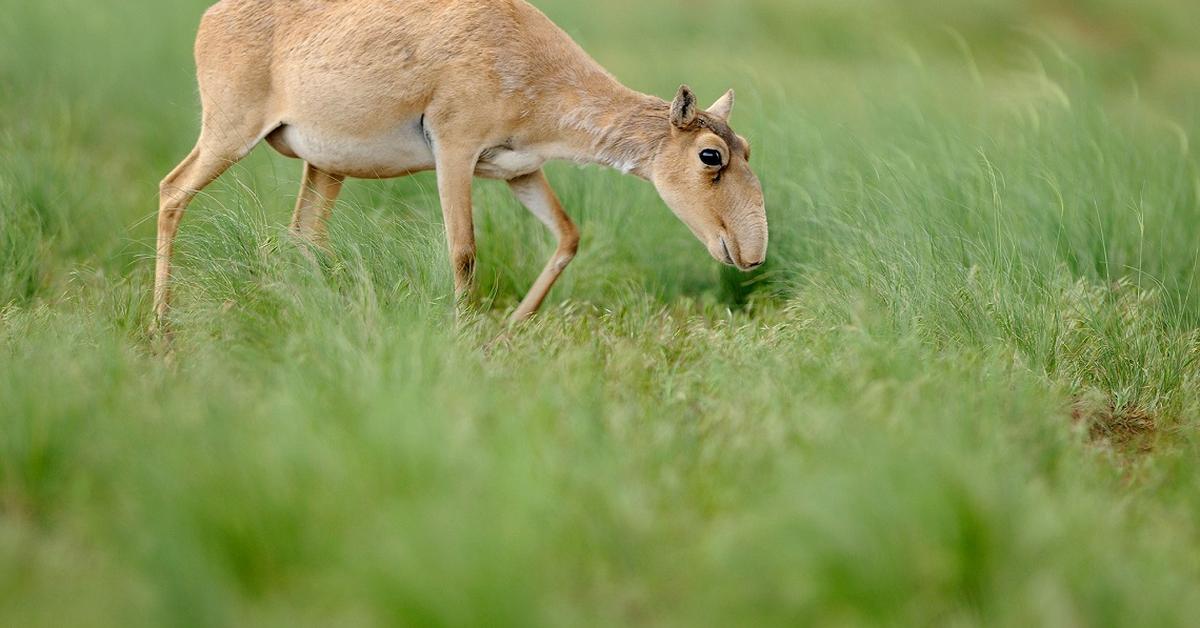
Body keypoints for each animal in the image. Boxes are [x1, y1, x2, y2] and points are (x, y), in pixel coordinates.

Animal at [157, 1, 768, 329]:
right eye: (709, 154)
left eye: (745, 147)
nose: (752, 253)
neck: (533, 61)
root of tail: (211, 17)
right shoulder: (454, 151)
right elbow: (464, 252)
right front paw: (463, 340)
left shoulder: (519, 170)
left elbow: (568, 235)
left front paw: (510, 330)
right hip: (228, 134)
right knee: (172, 191)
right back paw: (160, 326)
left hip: (324, 167)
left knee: (302, 235)